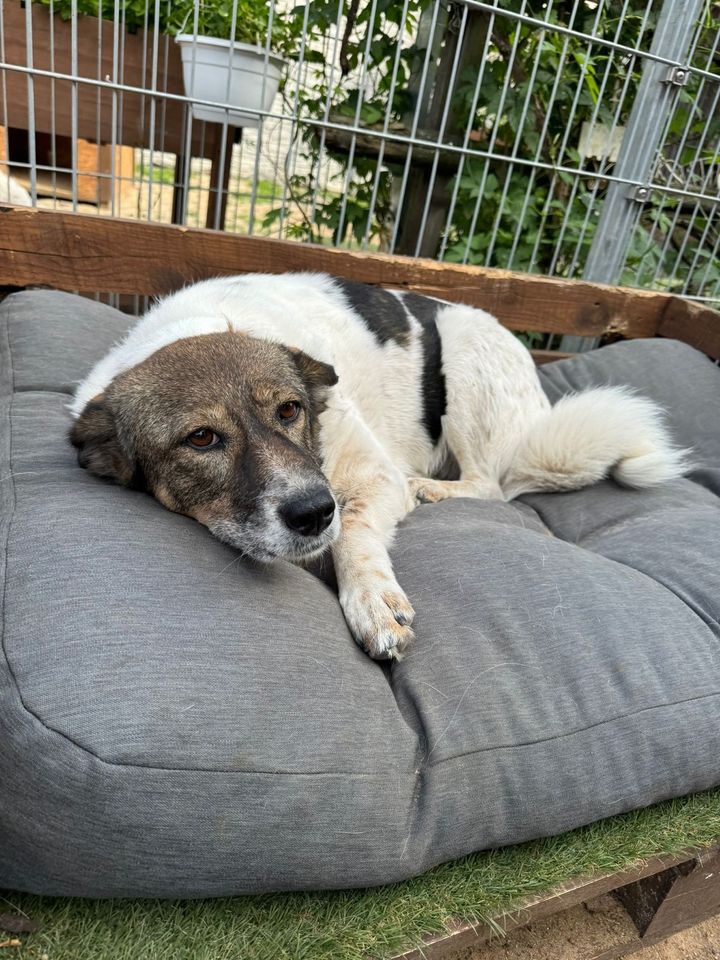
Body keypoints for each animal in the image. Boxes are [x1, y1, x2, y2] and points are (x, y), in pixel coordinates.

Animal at [70, 274, 688, 656]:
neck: (208, 321)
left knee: (496, 484)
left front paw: (373, 601)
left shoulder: (370, 475)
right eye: (200, 439)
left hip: (464, 360)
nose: (313, 513)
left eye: (290, 409)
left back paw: (432, 488)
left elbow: (355, 530)